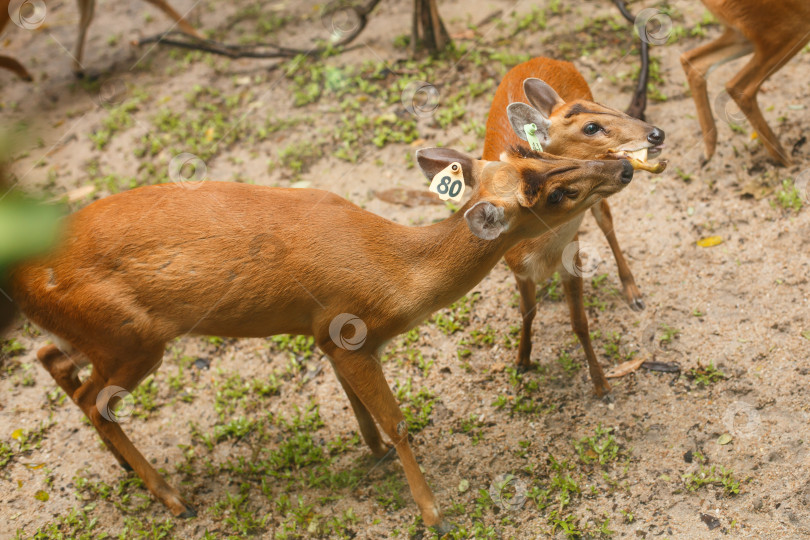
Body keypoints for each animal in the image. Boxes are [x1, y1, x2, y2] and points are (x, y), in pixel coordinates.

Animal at [680, 0, 808, 165]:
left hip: (745, 33)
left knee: (692, 61)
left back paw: (709, 148)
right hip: (789, 27)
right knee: (739, 88)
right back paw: (784, 158)